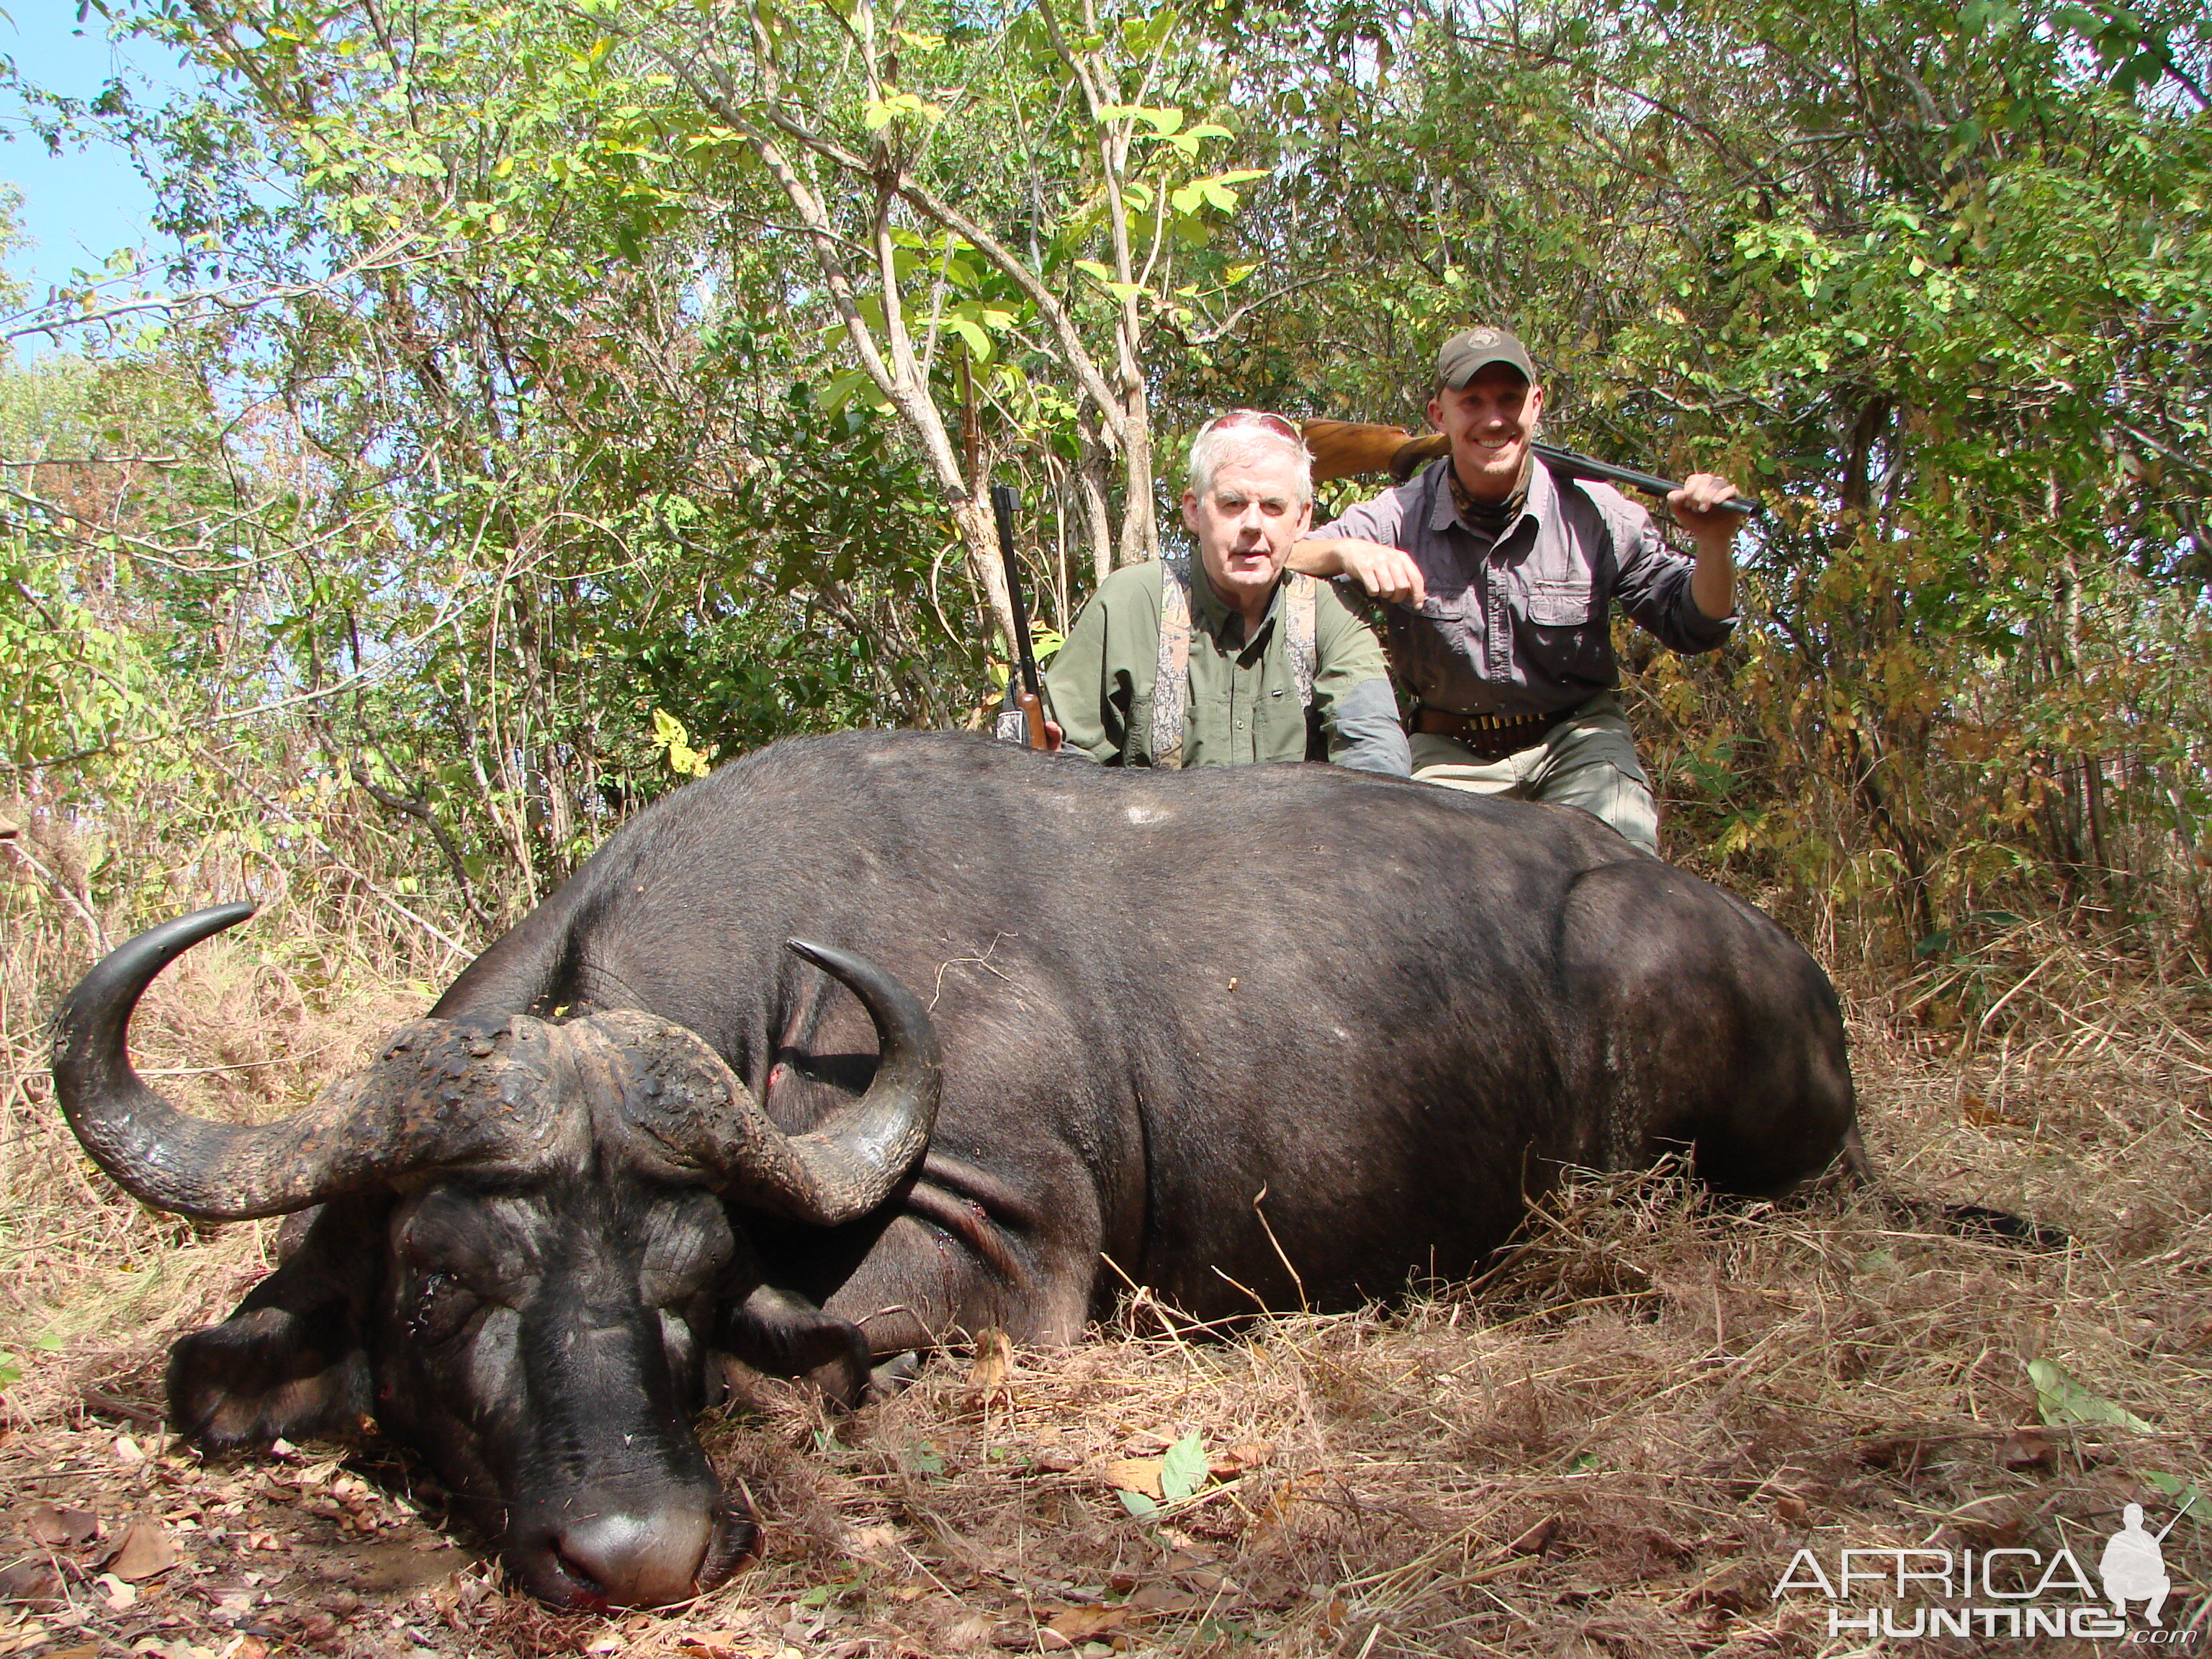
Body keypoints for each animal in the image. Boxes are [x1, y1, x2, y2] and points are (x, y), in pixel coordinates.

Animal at [52, 725, 1858, 1610]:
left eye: (688, 1286)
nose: (643, 1550)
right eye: (435, 1285)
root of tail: (1797, 972)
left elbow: (808, 1348)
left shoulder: (1000, 1243)